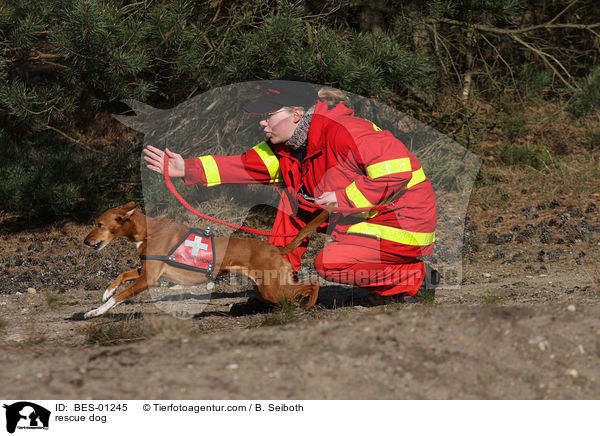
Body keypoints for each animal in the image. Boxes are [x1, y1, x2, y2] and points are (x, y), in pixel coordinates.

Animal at [82, 201, 332, 316]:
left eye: (99, 224)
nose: (85, 241)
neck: (148, 231)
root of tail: (276, 249)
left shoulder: (149, 278)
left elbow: (120, 297)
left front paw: (96, 311)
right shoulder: (145, 271)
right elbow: (121, 275)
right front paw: (106, 292)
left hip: (272, 288)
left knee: (313, 284)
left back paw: (308, 304)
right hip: (267, 288)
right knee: (301, 287)